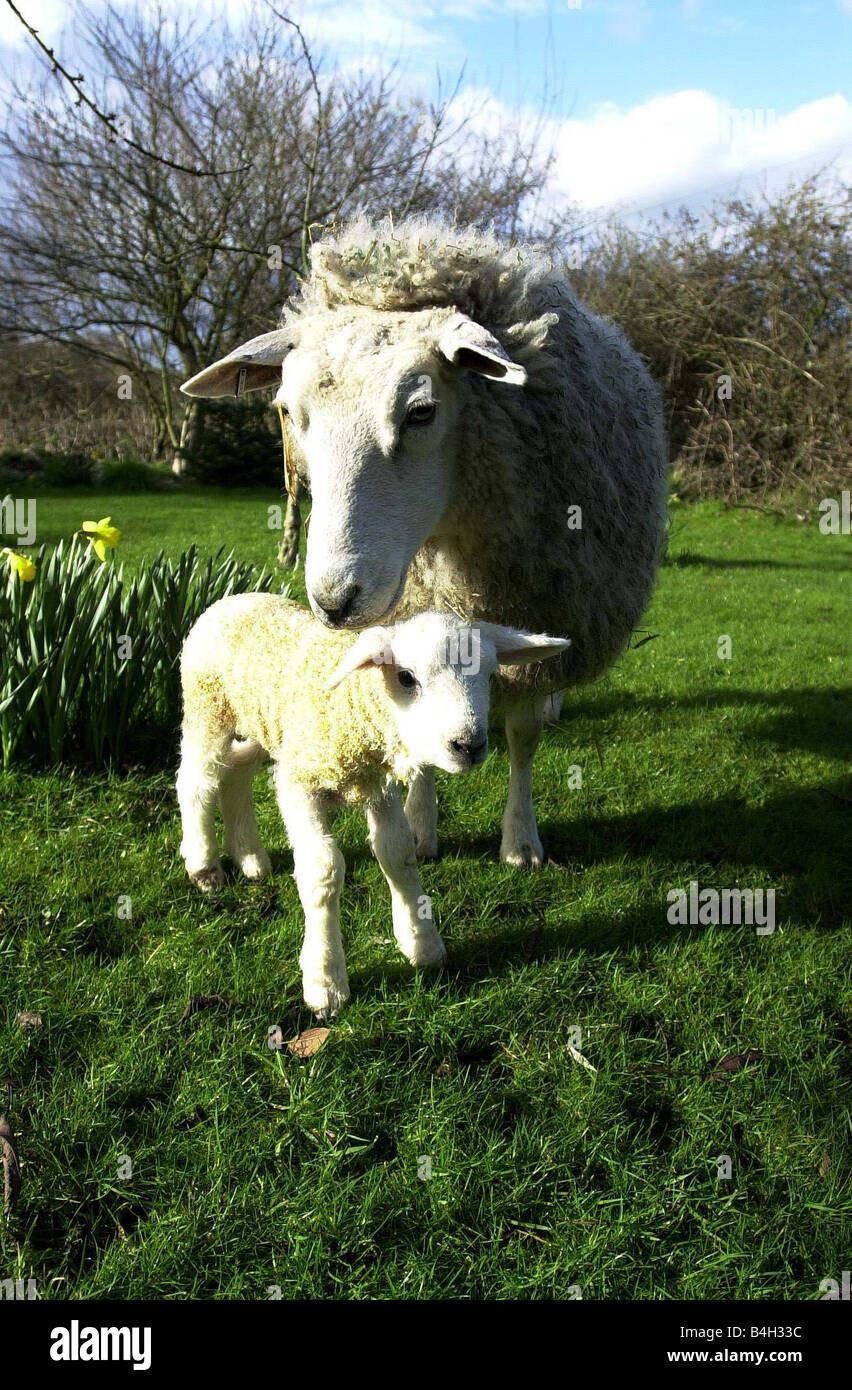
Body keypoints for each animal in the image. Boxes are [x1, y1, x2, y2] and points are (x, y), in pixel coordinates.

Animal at [175, 592, 567, 1017]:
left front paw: (422, 944)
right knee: (196, 782)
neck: (355, 709)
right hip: (208, 707)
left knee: (237, 771)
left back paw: (250, 858)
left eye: (490, 674)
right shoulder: (301, 781)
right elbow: (323, 870)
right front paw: (325, 980)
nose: (469, 746)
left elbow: (397, 852)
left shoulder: (377, 785)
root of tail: (234, 600)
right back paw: (204, 865)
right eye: (407, 677)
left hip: (263, 723)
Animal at [180, 216, 669, 867]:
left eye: (420, 411)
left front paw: (521, 840)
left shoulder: (543, 603)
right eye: (289, 411)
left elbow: (522, 736)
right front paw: (419, 825)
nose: (333, 601)